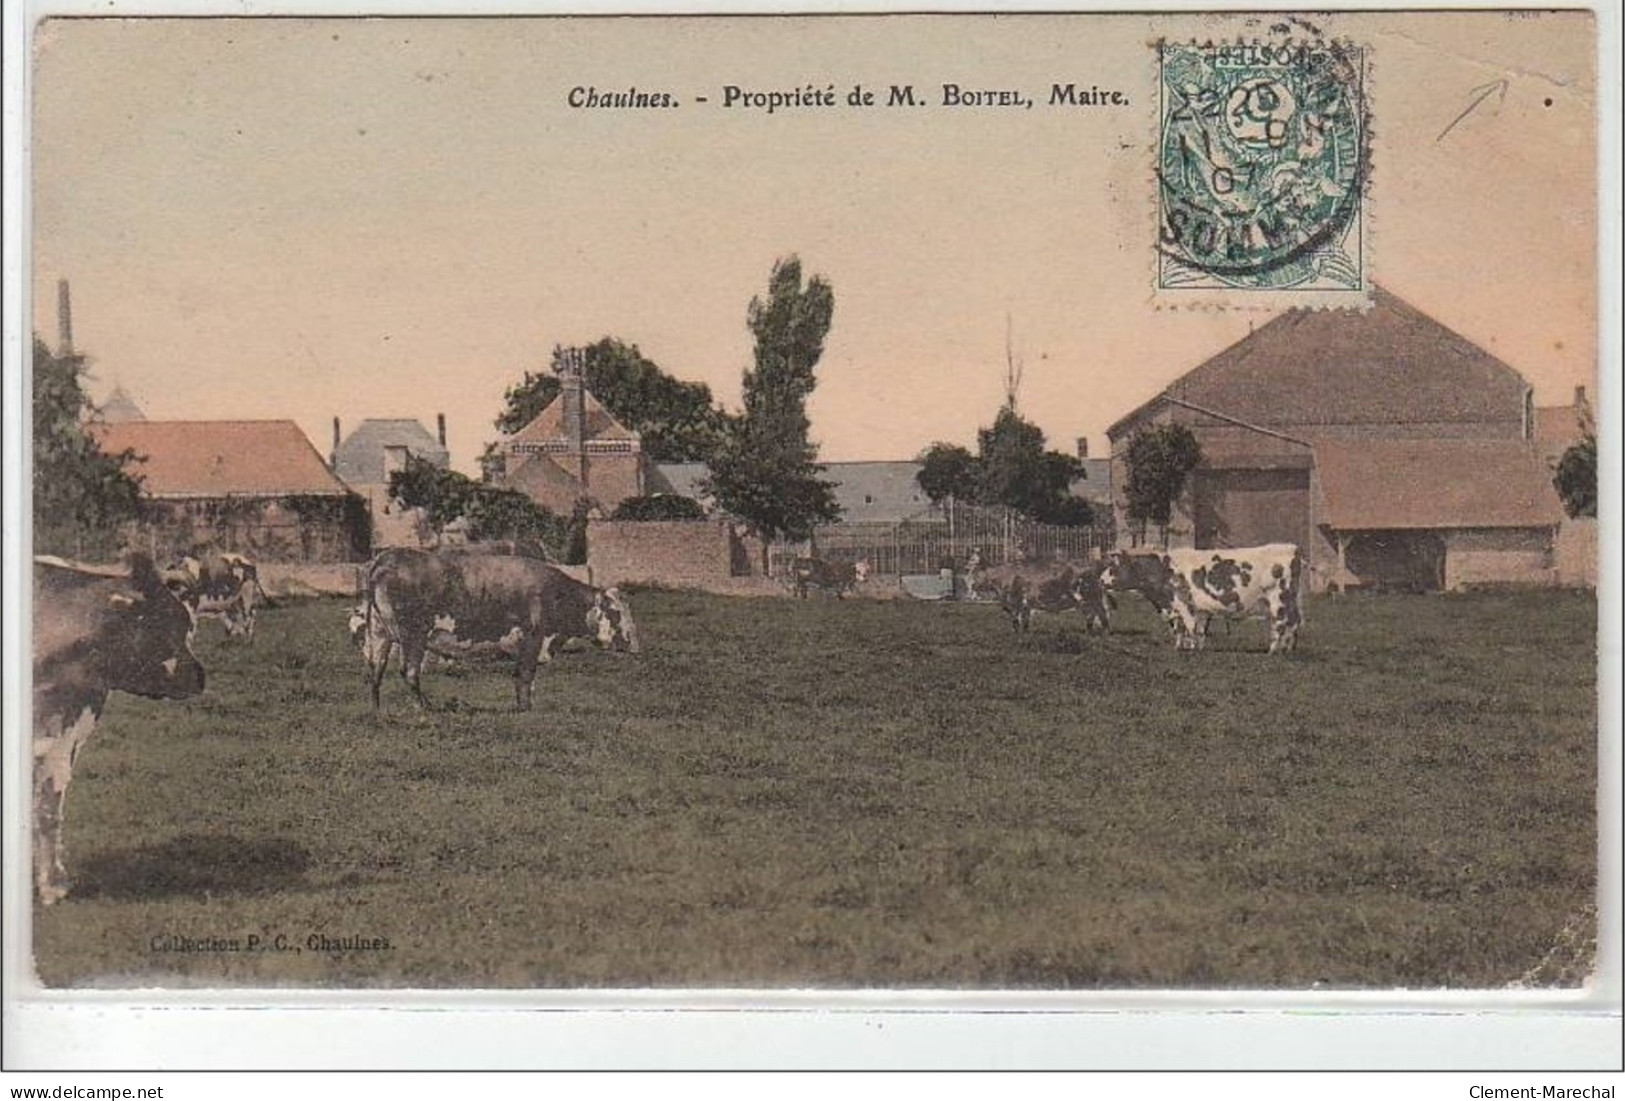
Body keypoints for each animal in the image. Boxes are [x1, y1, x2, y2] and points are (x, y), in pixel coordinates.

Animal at [32, 555, 206, 909]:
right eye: (160, 623)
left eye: (186, 621)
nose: (199, 676)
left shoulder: (64, 734)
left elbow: (49, 809)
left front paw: (53, 885)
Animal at [359, 552, 637, 714]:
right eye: (615, 612)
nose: (633, 643)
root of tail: (388, 557)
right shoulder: (532, 640)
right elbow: (525, 677)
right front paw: (525, 709)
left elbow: (522, 678)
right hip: (413, 636)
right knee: (409, 672)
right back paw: (425, 708)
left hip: (380, 635)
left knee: (376, 670)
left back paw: (376, 710)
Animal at [1098, 545, 1300, 656]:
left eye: (1114, 567)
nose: (1100, 579)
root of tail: (1292, 548)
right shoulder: (1195, 609)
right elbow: (1190, 629)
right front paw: (1185, 647)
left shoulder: (1183, 603)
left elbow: (1190, 626)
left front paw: (1192, 648)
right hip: (1291, 602)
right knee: (1294, 624)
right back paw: (1287, 650)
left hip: (1278, 600)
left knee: (1280, 624)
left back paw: (1272, 651)